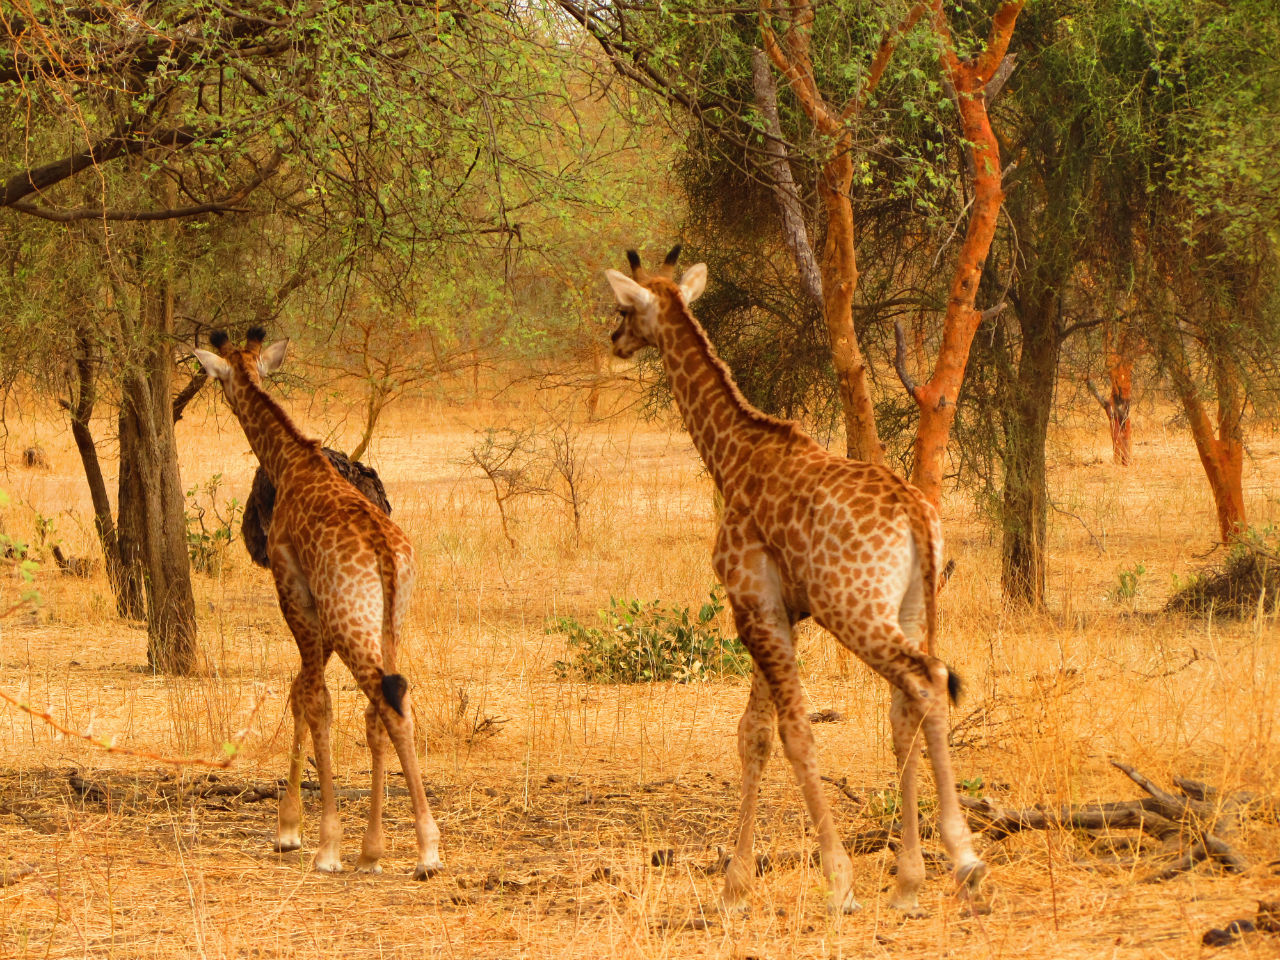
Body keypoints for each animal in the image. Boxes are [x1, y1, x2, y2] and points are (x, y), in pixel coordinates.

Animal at [192, 330, 442, 880]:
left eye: (220, 378)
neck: (292, 462)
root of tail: (386, 553)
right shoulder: (324, 612)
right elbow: (308, 695)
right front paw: (350, 845)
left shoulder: (294, 593)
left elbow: (312, 699)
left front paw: (317, 843)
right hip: (388, 620)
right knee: (388, 701)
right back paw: (380, 850)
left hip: (348, 618)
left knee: (384, 706)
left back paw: (427, 852)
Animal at [604, 248, 983, 916]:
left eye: (625, 308)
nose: (613, 339)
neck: (730, 454)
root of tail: (918, 515)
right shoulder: (776, 610)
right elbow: (752, 734)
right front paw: (735, 885)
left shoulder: (751, 603)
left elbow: (794, 731)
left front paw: (837, 882)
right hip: (910, 606)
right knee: (906, 707)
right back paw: (911, 881)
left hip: (855, 607)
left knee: (928, 680)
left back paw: (962, 859)